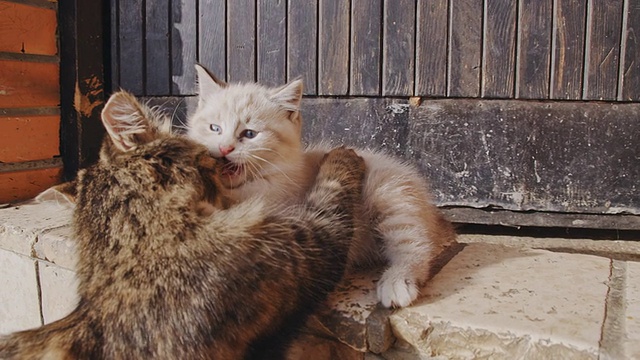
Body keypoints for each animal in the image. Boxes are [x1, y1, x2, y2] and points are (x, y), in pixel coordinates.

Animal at [188, 64, 458, 306]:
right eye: (214, 128)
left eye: (250, 134)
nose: (225, 148)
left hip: (390, 195)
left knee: (414, 242)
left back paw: (398, 282)